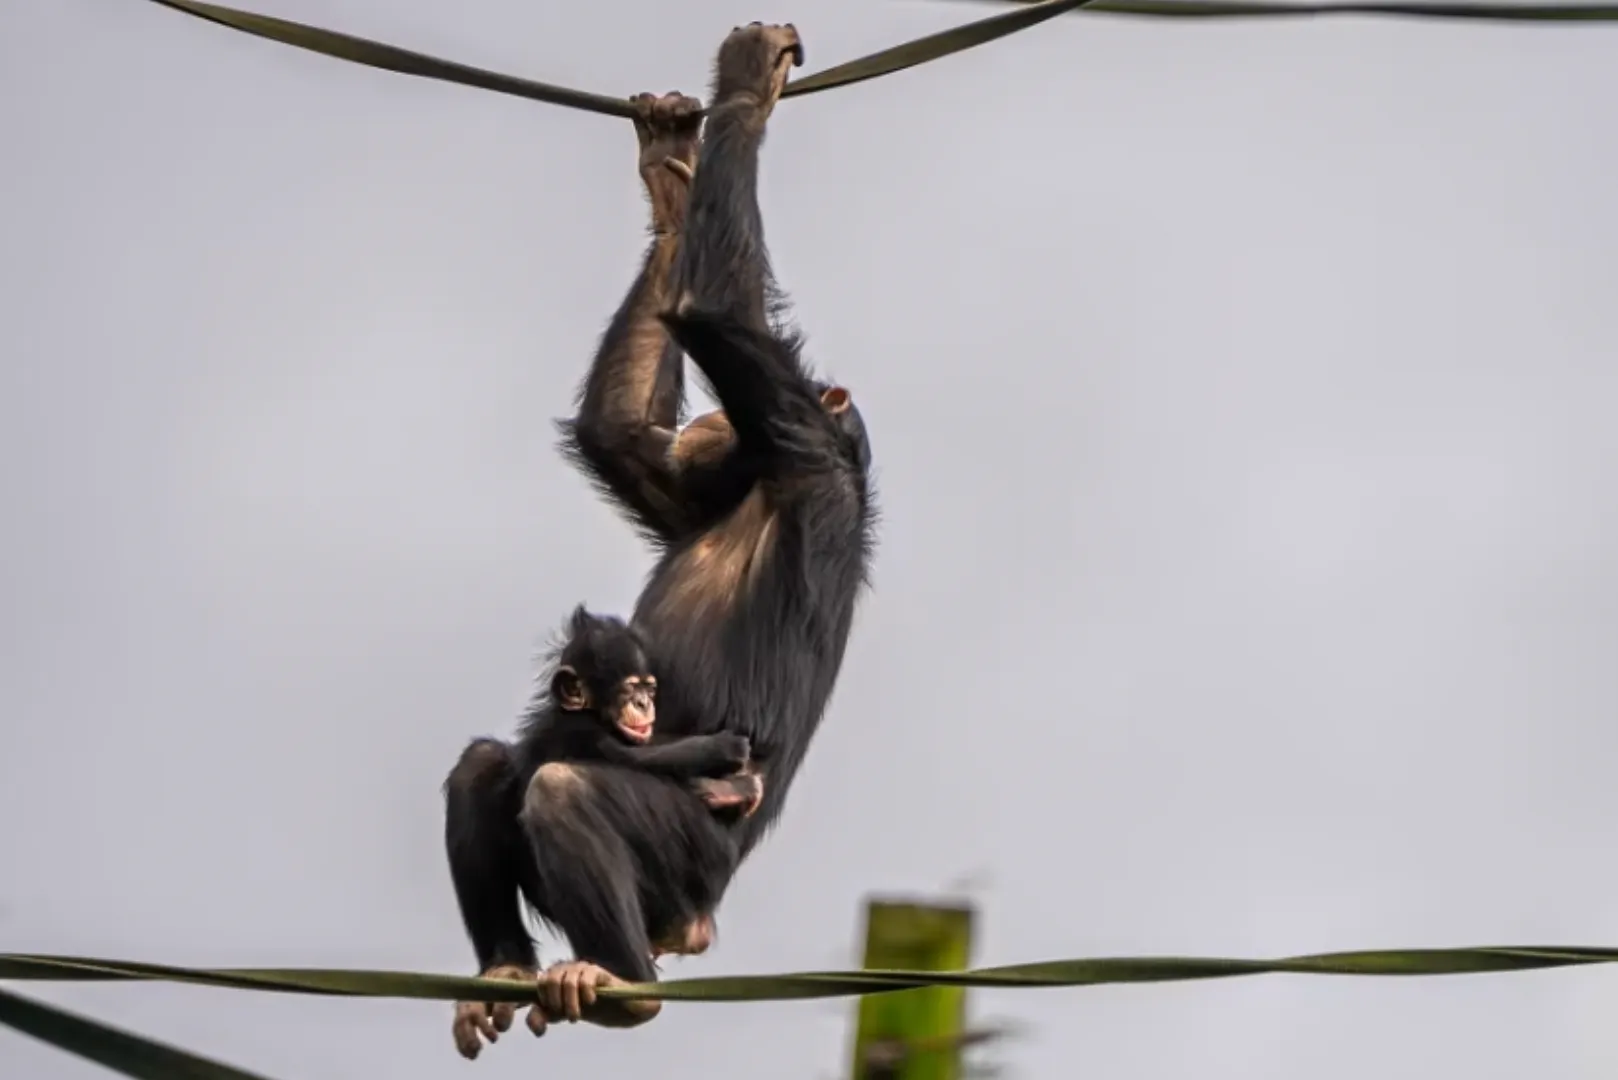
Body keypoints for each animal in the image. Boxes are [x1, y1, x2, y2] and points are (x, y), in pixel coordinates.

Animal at [443, 21, 873, 1049]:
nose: (708, 423)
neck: (761, 475)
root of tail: (699, 925)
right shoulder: (696, 484)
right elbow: (626, 438)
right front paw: (671, 167)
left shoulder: (797, 435)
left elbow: (714, 309)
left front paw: (748, 86)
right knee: (487, 767)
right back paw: (503, 969)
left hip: (682, 862)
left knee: (562, 792)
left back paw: (619, 986)